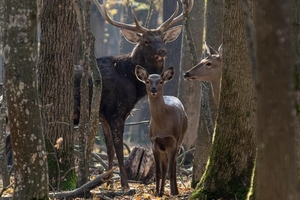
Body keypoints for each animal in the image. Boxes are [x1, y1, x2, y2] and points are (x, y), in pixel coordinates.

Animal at [134, 65, 186, 195]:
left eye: (161, 81)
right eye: (147, 81)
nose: (153, 89)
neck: (163, 128)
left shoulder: (173, 142)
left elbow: (171, 171)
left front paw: (173, 193)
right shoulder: (154, 142)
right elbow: (158, 171)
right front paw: (157, 193)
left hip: (180, 139)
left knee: (173, 166)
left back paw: (175, 191)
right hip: (163, 148)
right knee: (165, 167)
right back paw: (162, 191)